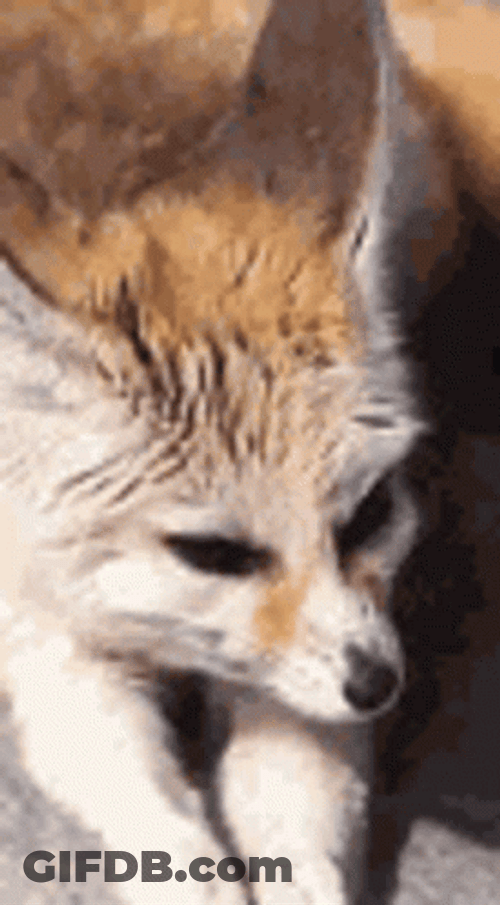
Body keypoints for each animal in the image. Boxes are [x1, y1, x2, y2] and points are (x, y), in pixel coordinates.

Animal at [1, 1, 499, 904]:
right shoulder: (49, 643)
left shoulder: (328, 656)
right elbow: (156, 834)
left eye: (370, 515)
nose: (379, 684)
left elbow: (295, 810)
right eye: (213, 553)